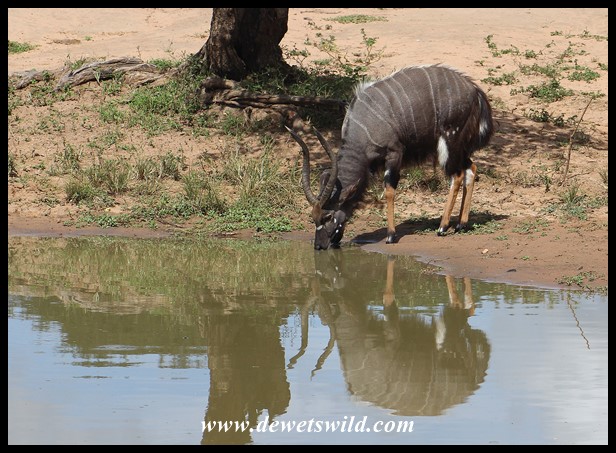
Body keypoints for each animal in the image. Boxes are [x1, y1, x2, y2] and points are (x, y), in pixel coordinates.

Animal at [287, 64, 494, 250]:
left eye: (328, 216)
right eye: (313, 218)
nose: (319, 246)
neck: (365, 124)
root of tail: (475, 91)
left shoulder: (394, 153)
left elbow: (389, 190)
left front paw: (391, 235)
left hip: (449, 141)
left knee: (457, 175)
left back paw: (443, 227)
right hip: (459, 147)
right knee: (471, 168)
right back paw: (461, 224)